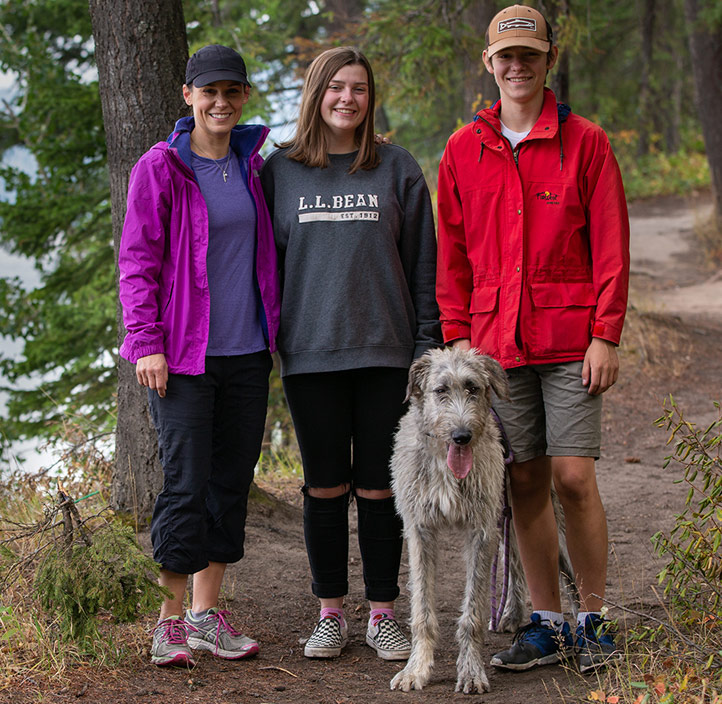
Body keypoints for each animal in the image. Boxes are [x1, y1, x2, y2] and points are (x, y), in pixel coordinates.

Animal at [388, 346, 572, 692]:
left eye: (472, 387)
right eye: (441, 390)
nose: (462, 436)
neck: (446, 462)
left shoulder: (480, 530)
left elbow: (472, 610)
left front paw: (471, 671)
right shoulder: (420, 529)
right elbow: (422, 608)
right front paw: (415, 669)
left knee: (567, 572)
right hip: (507, 509)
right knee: (515, 558)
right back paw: (512, 613)